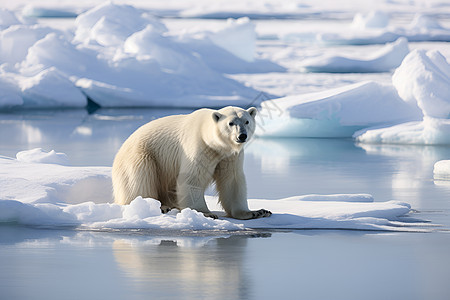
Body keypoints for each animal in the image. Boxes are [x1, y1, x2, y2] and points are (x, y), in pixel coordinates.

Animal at [112, 106, 272, 219]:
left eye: (247, 121)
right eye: (231, 123)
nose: (242, 136)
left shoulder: (230, 156)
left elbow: (232, 180)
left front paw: (257, 212)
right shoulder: (199, 146)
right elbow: (193, 178)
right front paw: (205, 213)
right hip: (140, 156)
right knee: (141, 179)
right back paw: (157, 206)